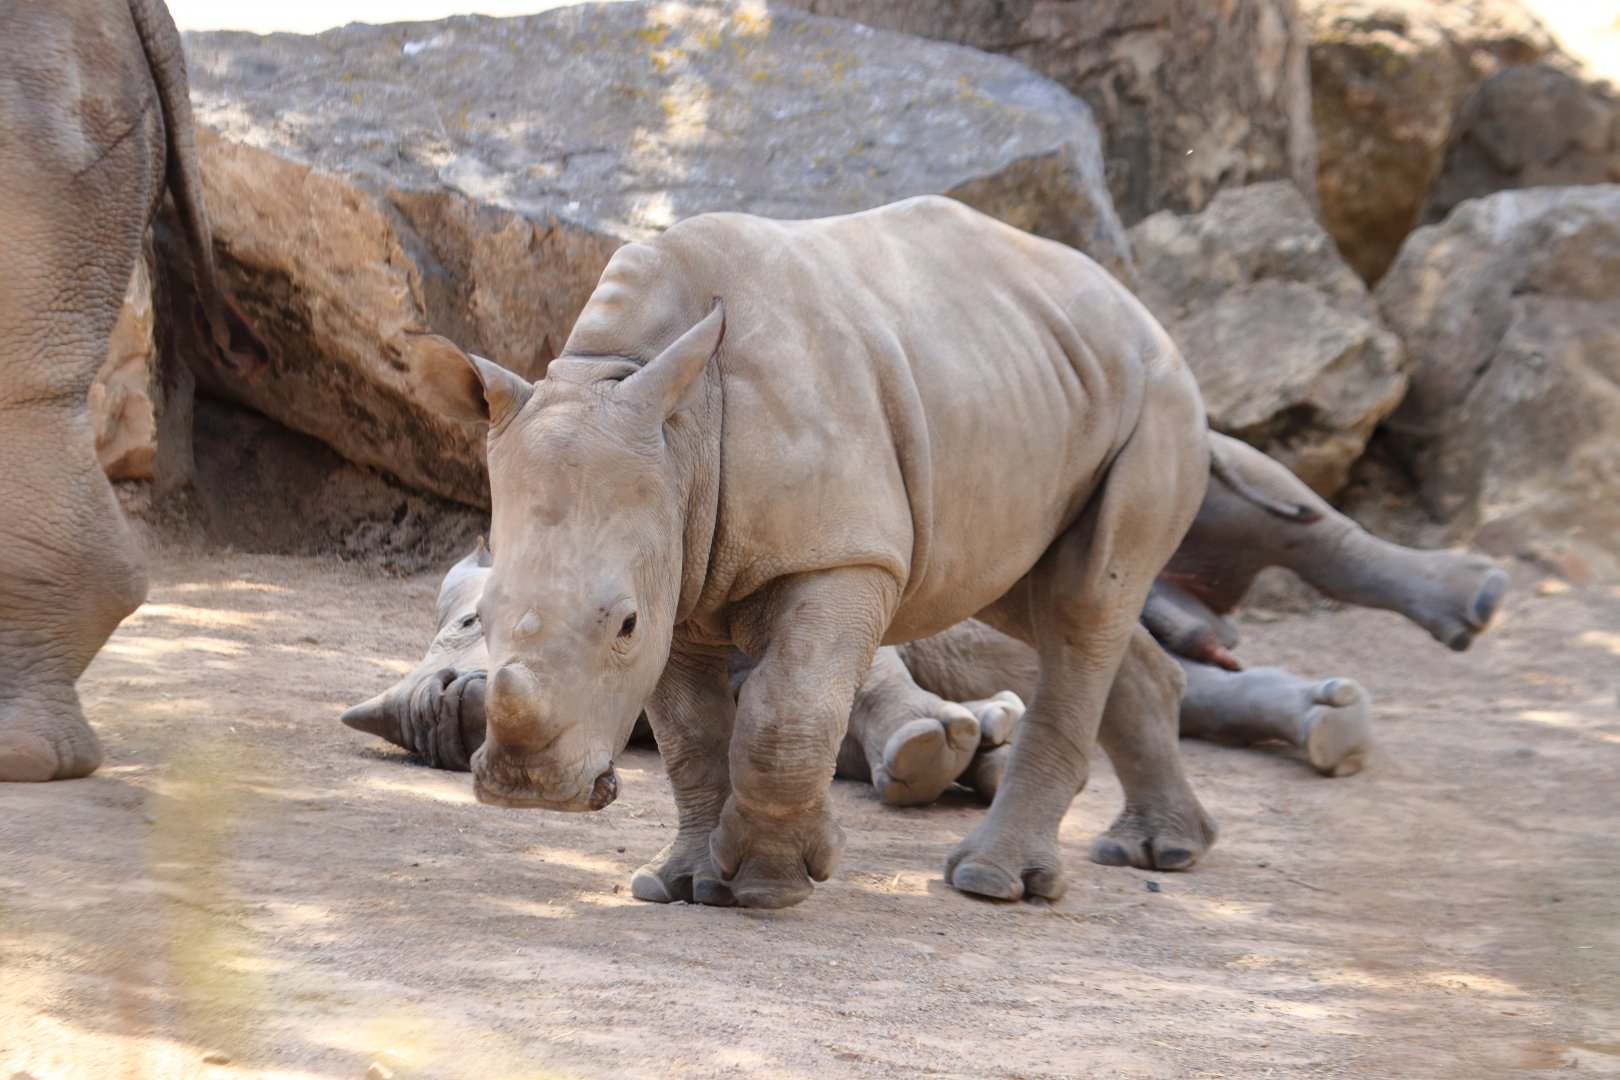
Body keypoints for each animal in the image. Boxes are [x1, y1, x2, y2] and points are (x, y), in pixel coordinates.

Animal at [409, 196, 1213, 907]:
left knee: (1082, 601)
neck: (667, 416)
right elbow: (689, 735)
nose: (528, 792)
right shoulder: (677, 566)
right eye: (481, 616)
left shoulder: (839, 554)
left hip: (1158, 393)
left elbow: (785, 713)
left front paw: (773, 884)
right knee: (1040, 595)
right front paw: (684, 884)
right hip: (1029, 380)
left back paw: (991, 882)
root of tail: (1134, 304)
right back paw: (1161, 849)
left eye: (625, 625)